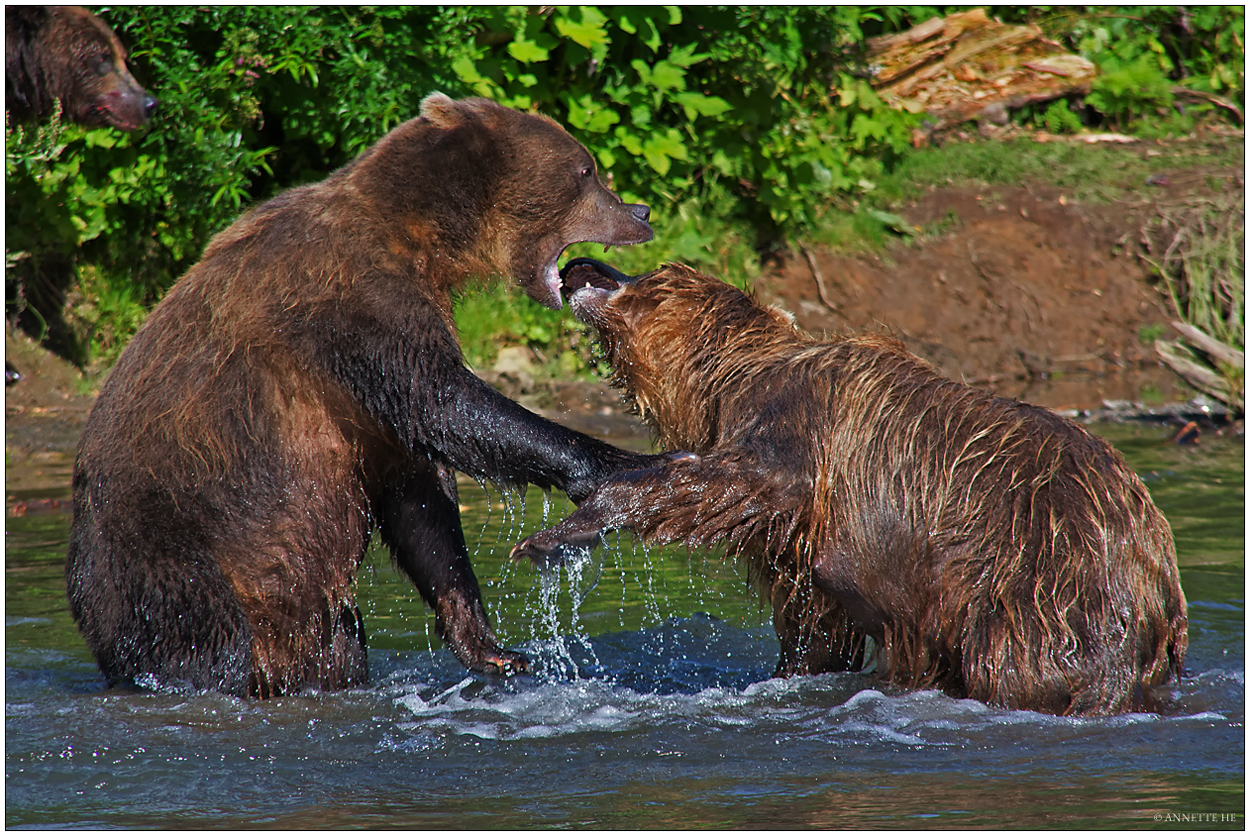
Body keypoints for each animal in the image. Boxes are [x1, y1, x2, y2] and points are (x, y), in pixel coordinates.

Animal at [70, 93, 665, 699]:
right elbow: (441, 401)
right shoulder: (351, 300)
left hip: (310, 612)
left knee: (337, 643)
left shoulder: (369, 389)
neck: (425, 238)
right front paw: (623, 462)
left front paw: (492, 647)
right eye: (585, 170)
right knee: (204, 639)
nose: (641, 211)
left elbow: (418, 494)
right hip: (181, 548)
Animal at [517, 257, 1190, 714]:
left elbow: (729, 480)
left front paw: (561, 532)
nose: (581, 264)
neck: (722, 388)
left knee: (1021, 658)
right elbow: (814, 624)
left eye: (656, 274)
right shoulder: (801, 547)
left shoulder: (800, 430)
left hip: (1037, 575)